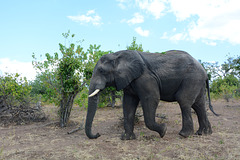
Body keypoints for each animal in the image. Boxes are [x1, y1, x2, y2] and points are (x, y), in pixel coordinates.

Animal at [85, 50, 218, 140]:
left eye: (101, 71)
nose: (98, 134)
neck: (117, 55)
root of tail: (205, 72)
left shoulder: (145, 77)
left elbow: (151, 98)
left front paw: (163, 130)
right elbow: (128, 104)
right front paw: (126, 138)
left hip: (192, 78)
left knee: (184, 100)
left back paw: (184, 135)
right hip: (197, 81)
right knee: (198, 104)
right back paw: (204, 133)